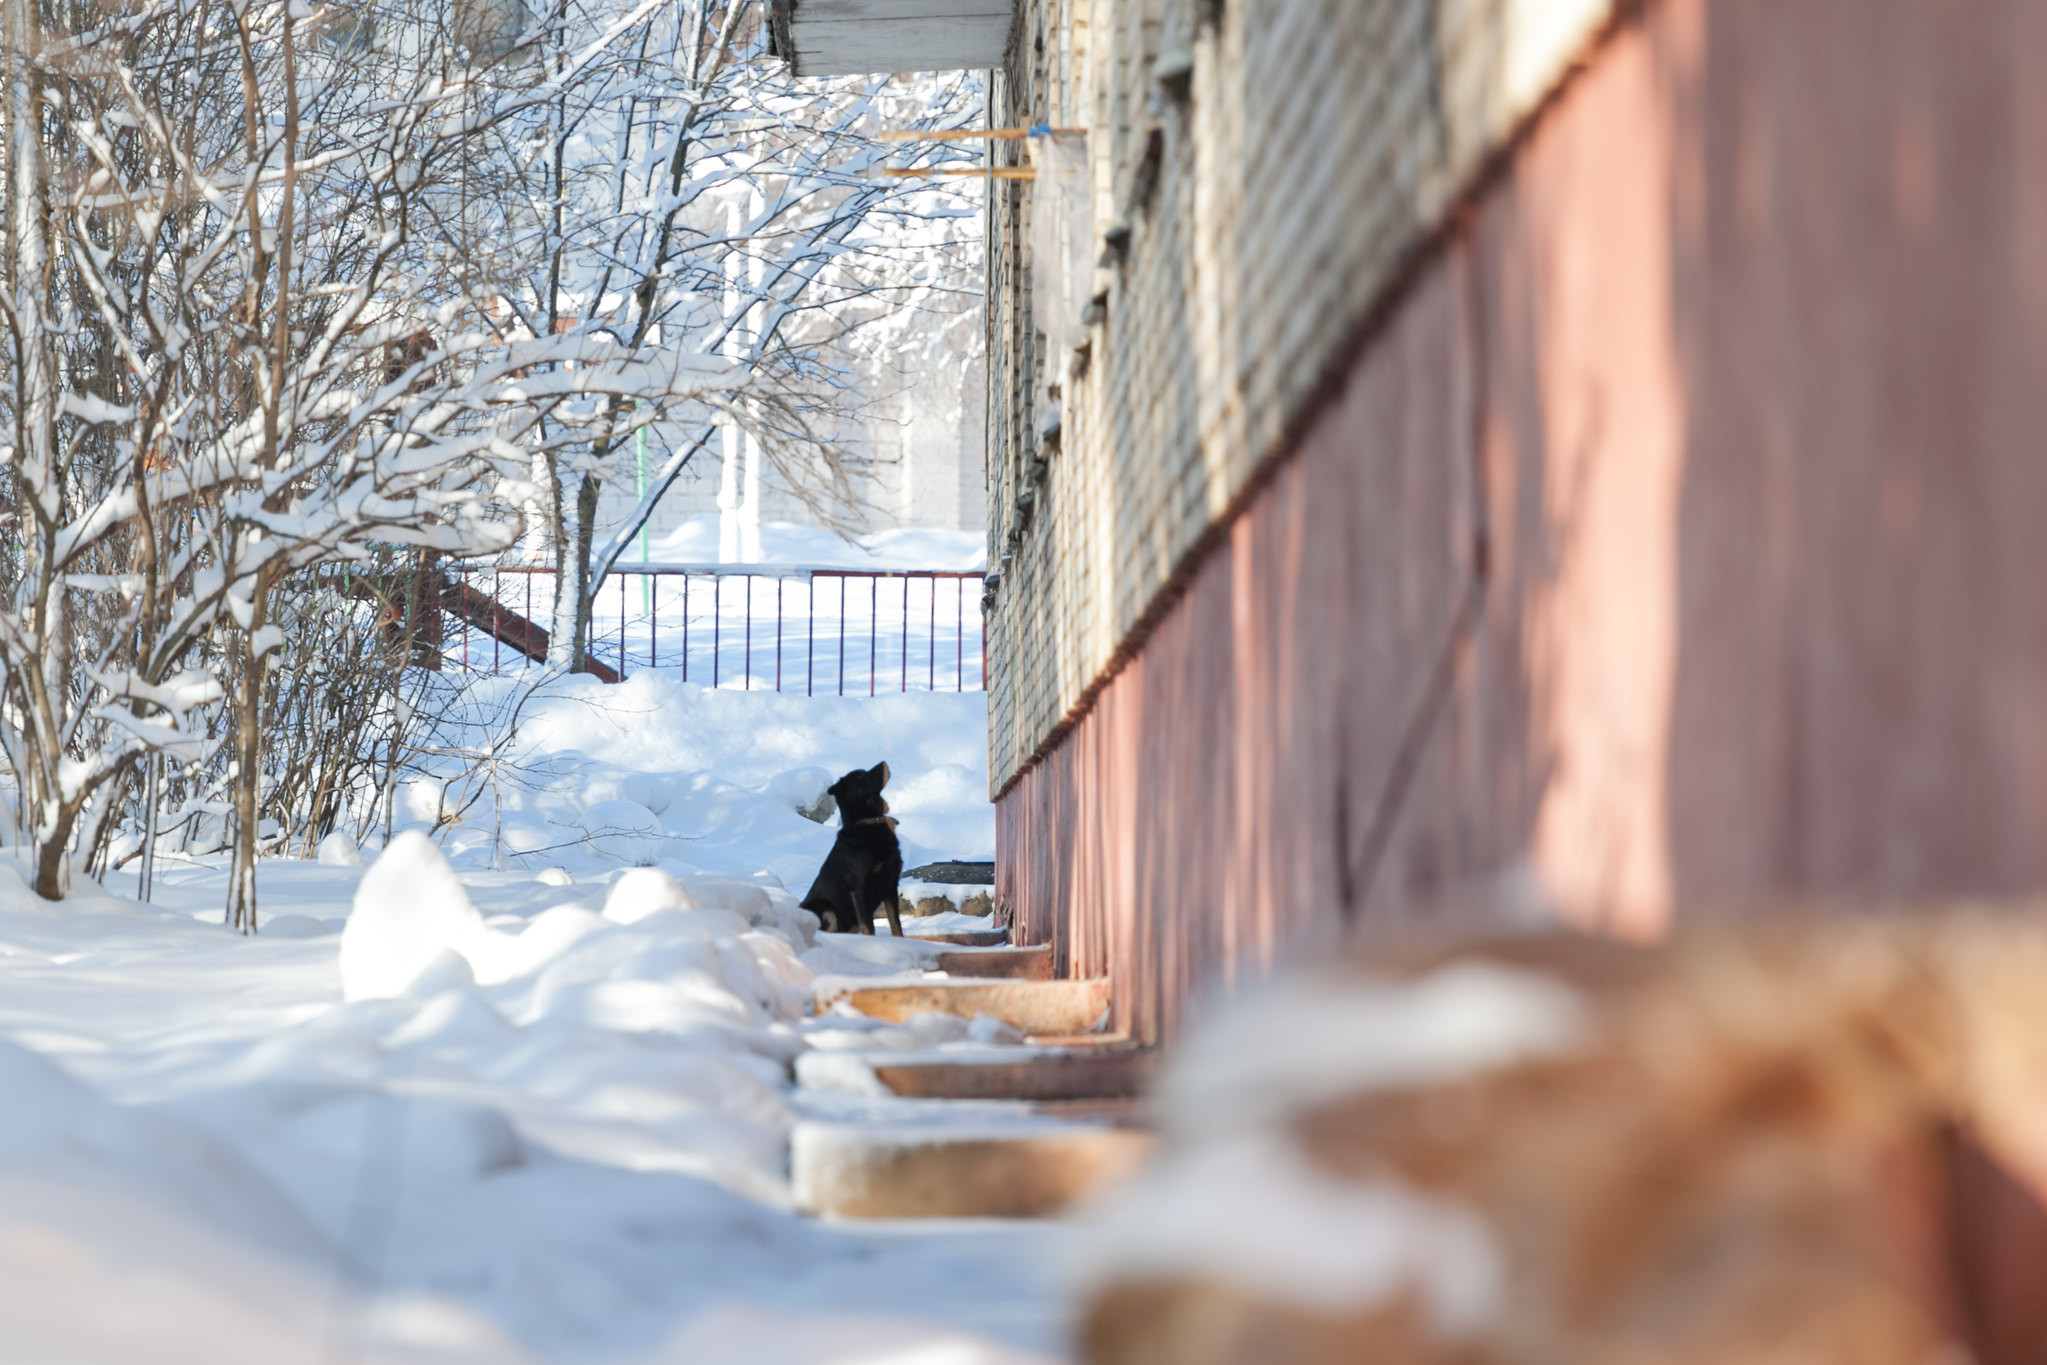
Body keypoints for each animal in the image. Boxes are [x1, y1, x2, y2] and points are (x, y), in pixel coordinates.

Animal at [794, 757, 900, 941]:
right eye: (860, 777)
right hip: (825, 908)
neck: (870, 823)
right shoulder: (859, 887)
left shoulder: (891, 884)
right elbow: (869, 927)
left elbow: (896, 927)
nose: (883, 762)